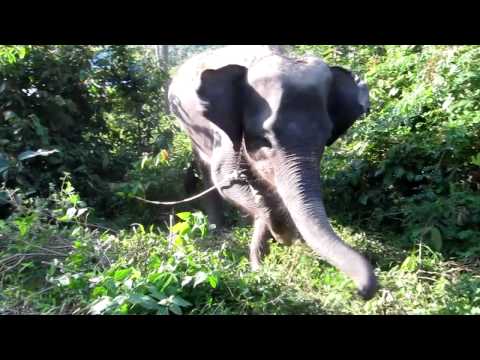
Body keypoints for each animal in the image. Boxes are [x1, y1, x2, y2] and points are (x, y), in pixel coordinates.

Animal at [167, 45, 376, 300]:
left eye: (326, 138)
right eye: (264, 139)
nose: (360, 291)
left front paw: (260, 265)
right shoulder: (223, 131)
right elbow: (224, 177)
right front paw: (279, 236)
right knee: (207, 173)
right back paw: (218, 231)